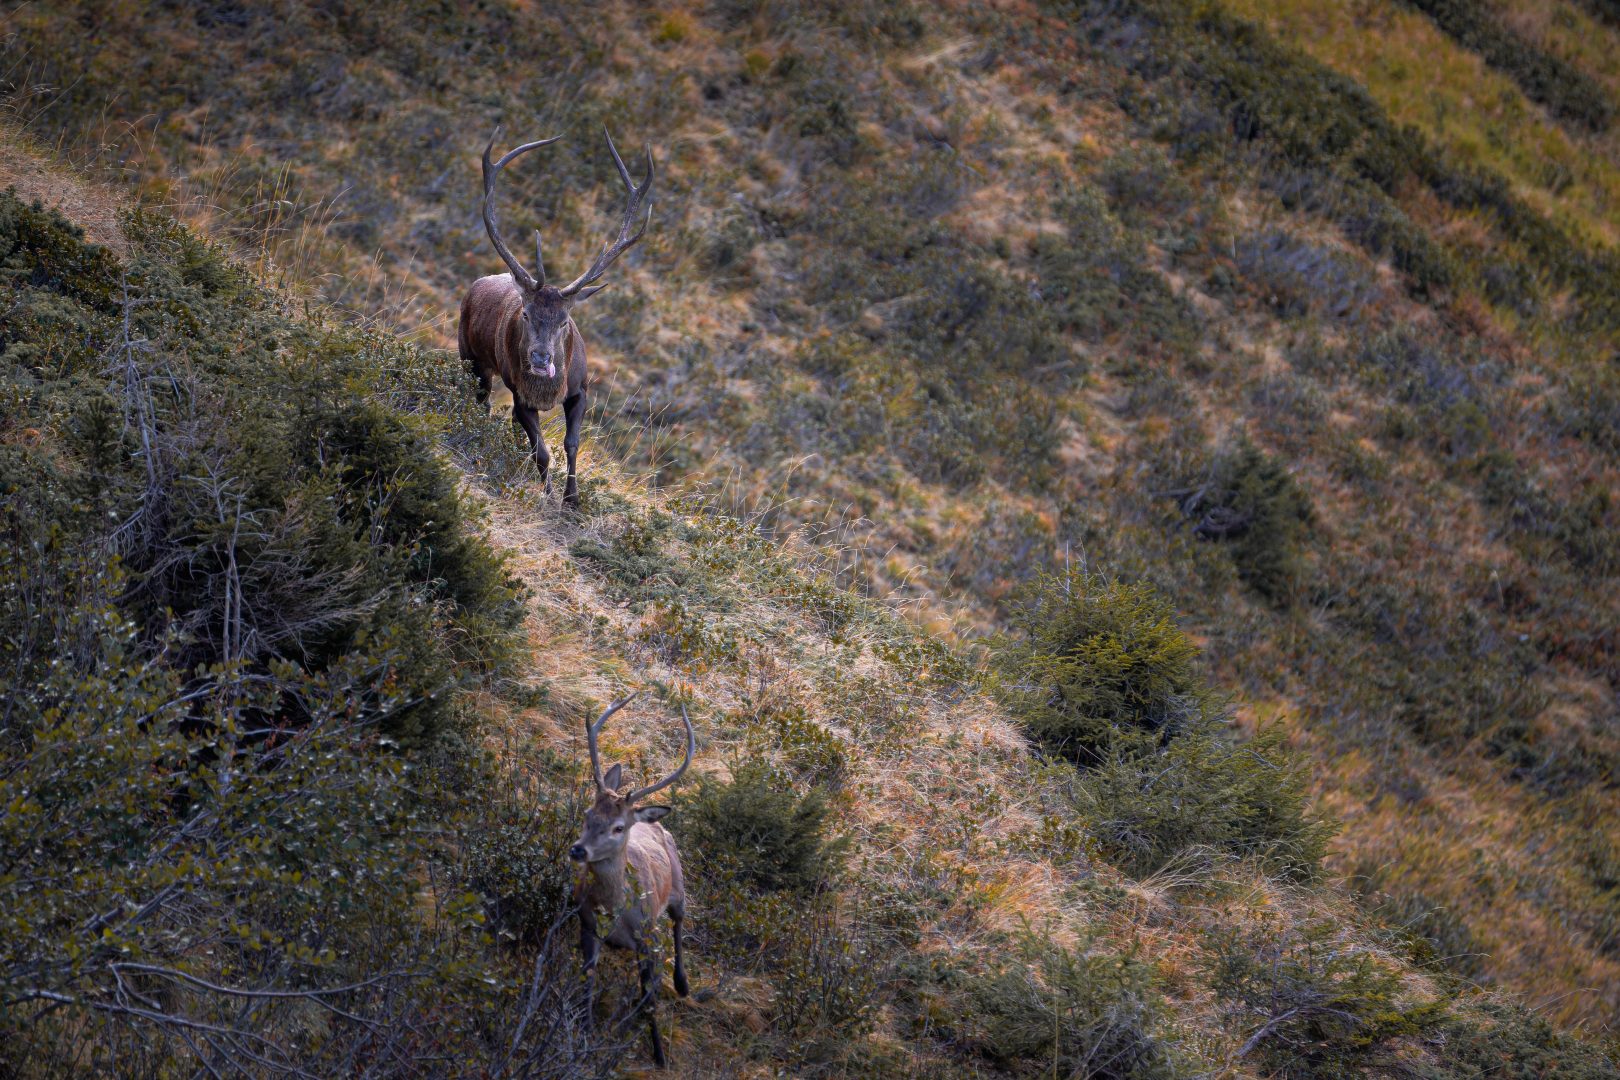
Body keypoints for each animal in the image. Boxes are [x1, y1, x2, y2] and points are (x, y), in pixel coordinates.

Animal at [458, 127, 654, 509]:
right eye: (525, 313)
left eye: (565, 321)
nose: (540, 358)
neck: (549, 390)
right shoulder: (520, 394)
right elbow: (541, 451)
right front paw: (548, 495)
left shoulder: (581, 389)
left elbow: (571, 444)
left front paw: (572, 499)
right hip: (471, 358)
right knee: (482, 405)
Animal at [570, 694, 694, 1068]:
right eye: (588, 813)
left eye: (618, 827)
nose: (578, 850)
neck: (615, 912)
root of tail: (654, 823)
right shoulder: (587, 924)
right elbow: (587, 982)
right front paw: (583, 1034)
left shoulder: (646, 937)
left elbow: (651, 997)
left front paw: (659, 1055)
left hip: (678, 889)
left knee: (679, 925)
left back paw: (682, 984)